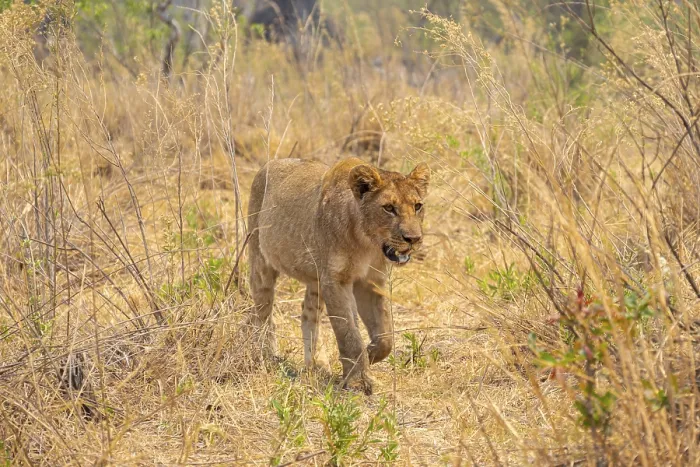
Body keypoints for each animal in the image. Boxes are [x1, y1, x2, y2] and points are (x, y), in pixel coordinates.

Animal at [246, 157, 429, 394]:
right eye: (389, 208)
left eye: (418, 206)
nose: (413, 239)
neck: (366, 242)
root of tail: (268, 164)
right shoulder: (336, 281)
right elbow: (348, 333)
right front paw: (358, 380)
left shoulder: (370, 281)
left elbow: (385, 335)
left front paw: (369, 354)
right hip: (260, 260)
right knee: (263, 313)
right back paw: (268, 356)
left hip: (316, 279)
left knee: (308, 315)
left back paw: (317, 364)